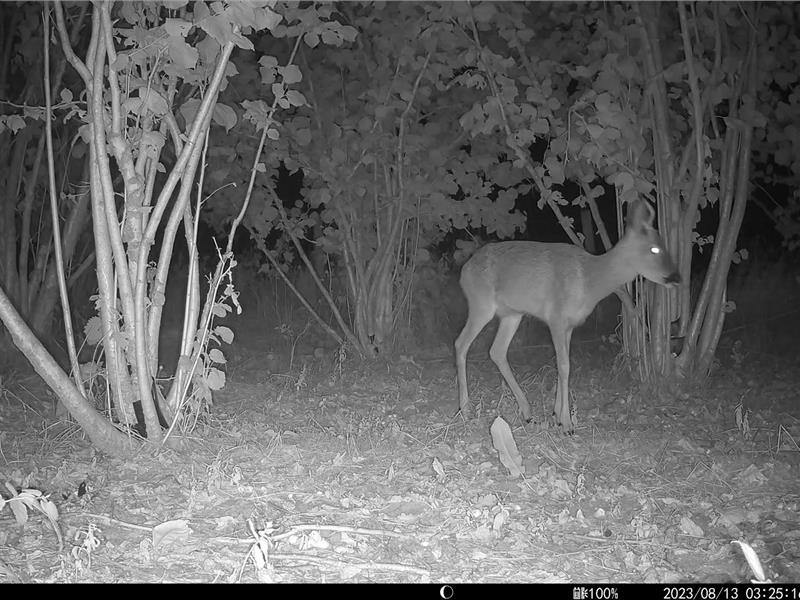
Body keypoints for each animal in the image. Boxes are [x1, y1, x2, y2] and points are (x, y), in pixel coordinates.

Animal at [454, 199, 681, 434]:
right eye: (654, 249)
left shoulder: (569, 325)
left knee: (497, 350)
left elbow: (562, 365)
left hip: (512, 314)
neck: (590, 279)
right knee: (461, 343)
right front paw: (567, 424)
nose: (676, 277)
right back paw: (465, 409)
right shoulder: (556, 317)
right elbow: (564, 366)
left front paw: (557, 415)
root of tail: (464, 270)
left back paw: (527, 412)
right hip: (481, 304)